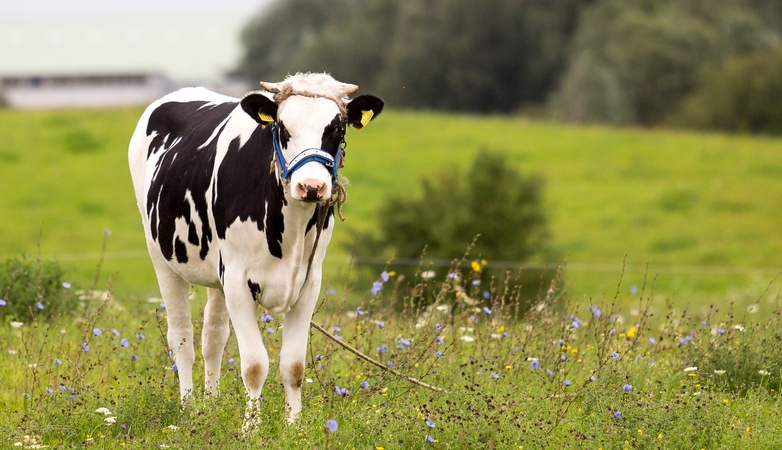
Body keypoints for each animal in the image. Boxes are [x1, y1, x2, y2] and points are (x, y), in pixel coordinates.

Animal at [127, 73, 384, 426]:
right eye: (283, 128)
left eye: (337, 129)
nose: (311, 187)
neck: (289, 231)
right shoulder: (237, 280)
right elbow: (254, 366)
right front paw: (251, 427)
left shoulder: (308, 282)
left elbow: (294, 366)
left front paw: (294, 425)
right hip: (162, 256)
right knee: (182, 337)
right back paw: (189, 407)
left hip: (217, 275)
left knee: (213, 337)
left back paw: (211, 404)